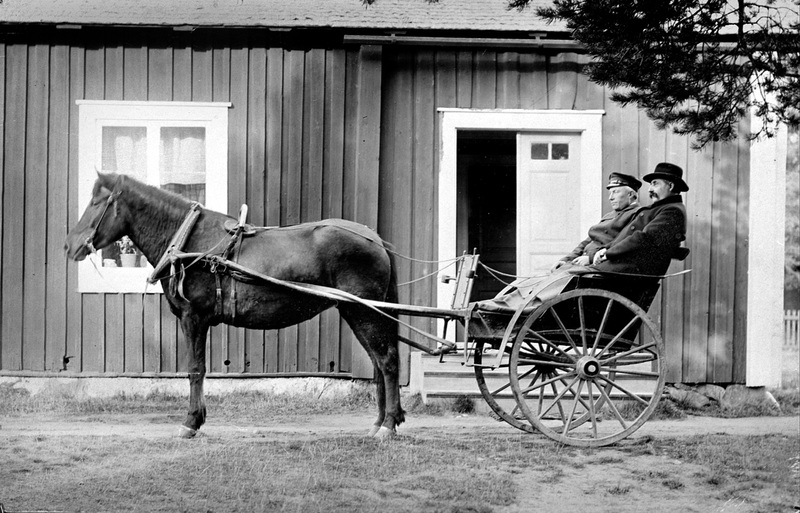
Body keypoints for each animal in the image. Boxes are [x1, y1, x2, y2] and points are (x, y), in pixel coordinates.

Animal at [66, 172, 406, 440]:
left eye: (98, 202)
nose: (70, 245)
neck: (189, 241)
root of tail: (374, 237)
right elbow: (199, 369)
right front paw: (198, 418)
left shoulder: (193, 317)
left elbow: (195, 369)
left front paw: (191, 422)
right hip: (355, 311)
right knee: (377, 364)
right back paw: (378, 422)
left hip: (363, 312)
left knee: (387, 362)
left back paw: (388, 424)